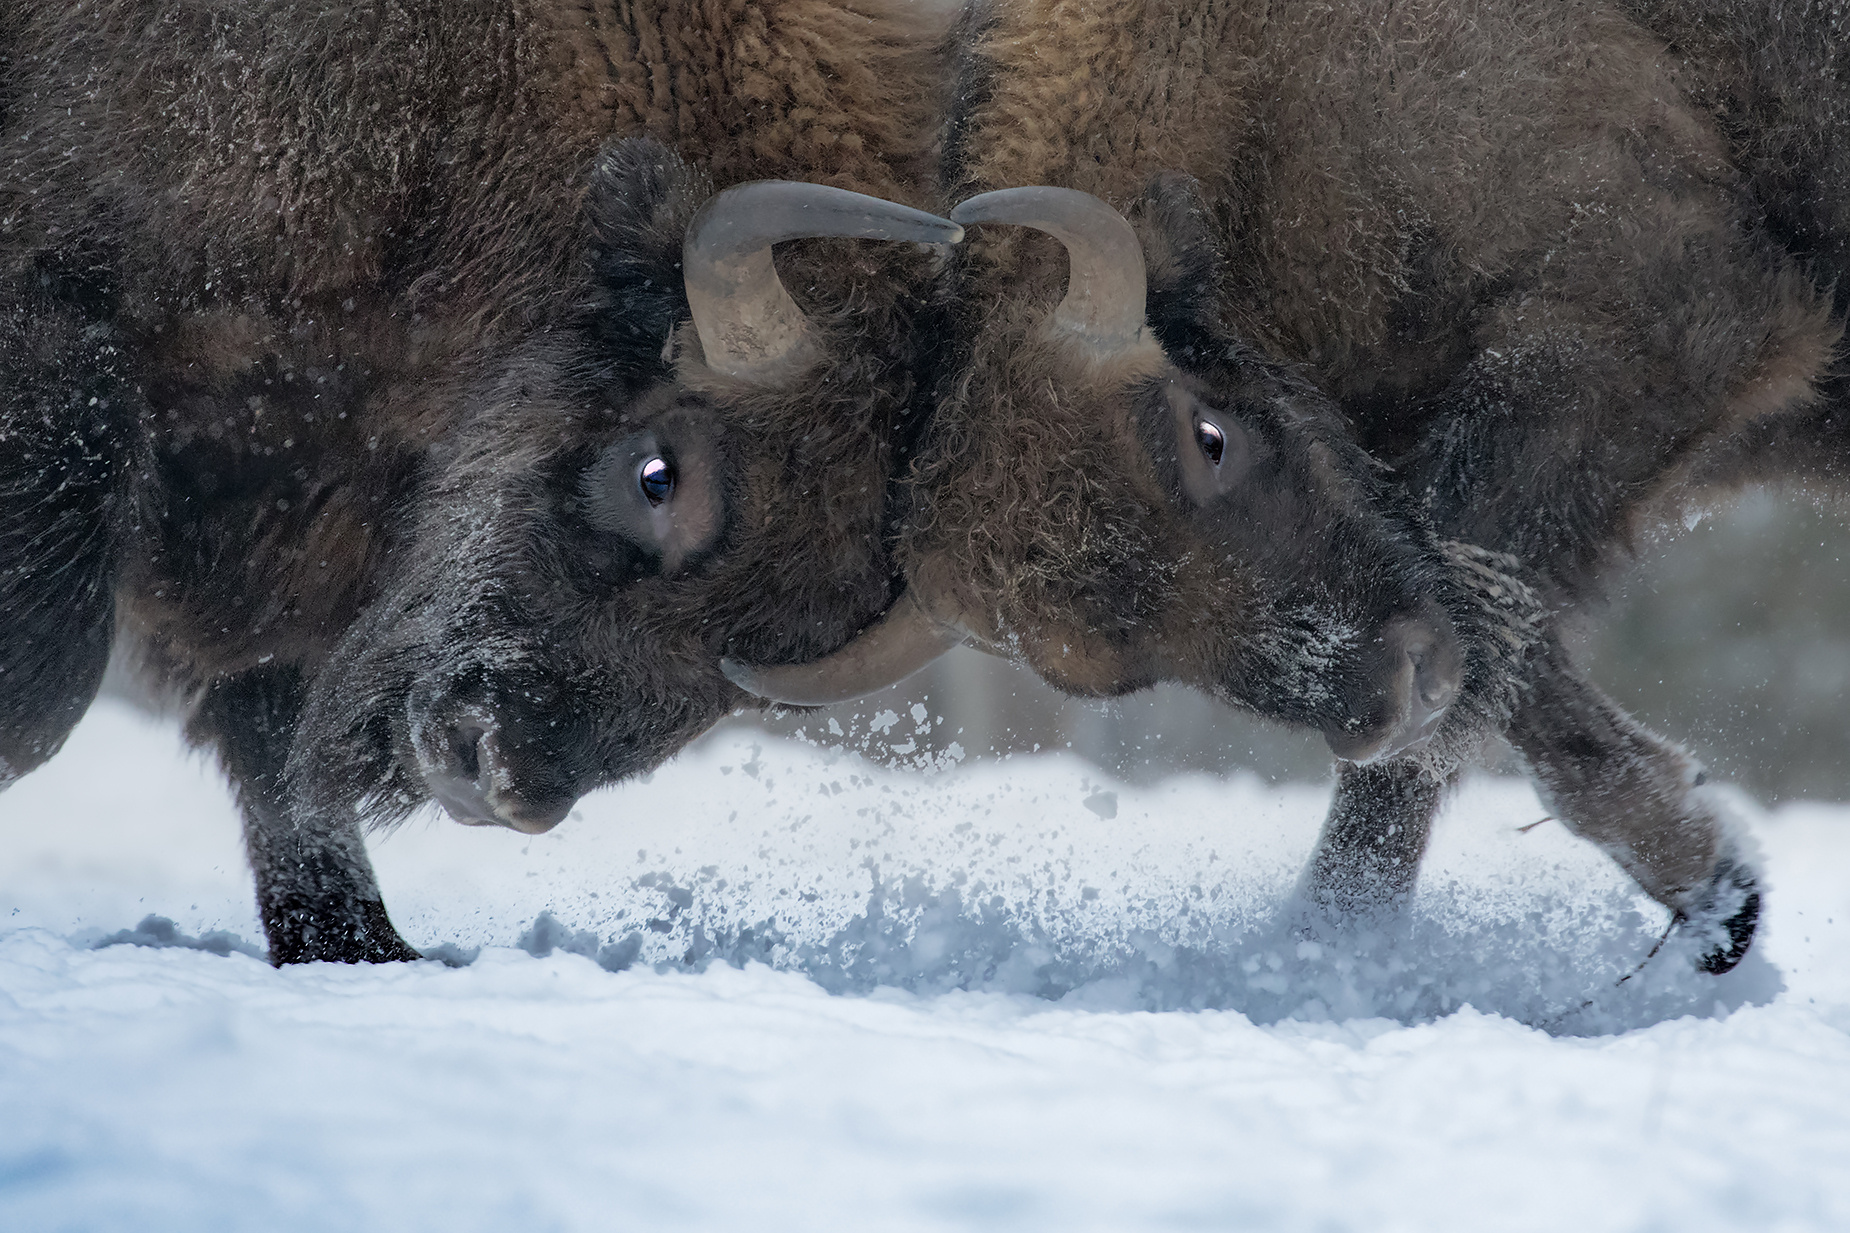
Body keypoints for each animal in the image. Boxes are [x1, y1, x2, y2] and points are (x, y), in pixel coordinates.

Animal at [717, 0, 1835, 962]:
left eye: (1209, 436)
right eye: (1112, 668)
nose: (1391, 691)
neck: (1261, 96)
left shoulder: (1653, 333)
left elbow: (1479, 626)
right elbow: (1495, 662)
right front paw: (1719, 888)